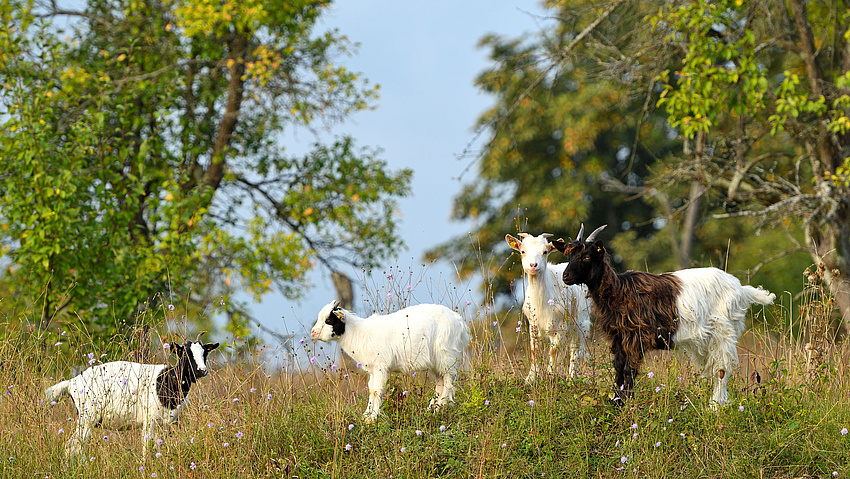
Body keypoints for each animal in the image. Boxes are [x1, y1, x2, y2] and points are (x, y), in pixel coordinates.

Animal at [44, 332, 219, 460]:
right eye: (185, 353)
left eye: (205, 353)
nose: (202, 371)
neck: (167, 379)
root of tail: (72, 382)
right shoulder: (149, 420)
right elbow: (146, 446)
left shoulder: (166, 423)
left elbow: (159, 446)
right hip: (87, 418)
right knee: (74, 447)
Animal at [312, 300, 470, 424]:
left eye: (329, 320)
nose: (313, 332)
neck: (359, 333)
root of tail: (459, 321)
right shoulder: (373, 369)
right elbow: (371, 389)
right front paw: (366, 416)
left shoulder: (380, 366)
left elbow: (377, 390)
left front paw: (373, 417)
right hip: (437, 363)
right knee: (440, 383)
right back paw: (431, 409)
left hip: (447, 357)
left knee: (449, 384)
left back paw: (439, 409)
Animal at [506, 232, 592, 382]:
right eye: (523, 251)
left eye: (545, 252)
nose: (533, 265)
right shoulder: (533, 324)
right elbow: (535, 350)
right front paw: (531, 377)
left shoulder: (561, 325)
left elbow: (554, 351)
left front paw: (551, 375)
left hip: (581, 322)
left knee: (574, 348)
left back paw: (571, 377)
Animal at [548, 227, 776, 406]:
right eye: (568, 256)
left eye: (587, 256)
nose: (566, 277)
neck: (619, 291)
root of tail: (741, 289)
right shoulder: (619, 337)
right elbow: (618, 369)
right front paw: (617, 402)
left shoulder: (635, 337)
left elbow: (629, 370)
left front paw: (627, 404)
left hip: (724, 332)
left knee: (723, 368)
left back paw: (715, 405)